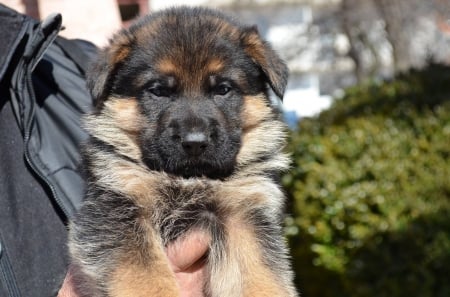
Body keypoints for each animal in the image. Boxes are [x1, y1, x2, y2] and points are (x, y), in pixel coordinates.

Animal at [68, 6, 298, 296]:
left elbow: (261, 277)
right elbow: (146, 275)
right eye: (158, 91)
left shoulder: (244, 216)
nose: (195, 142)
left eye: (223, 89)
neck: (189, 178)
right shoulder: (117, 208)